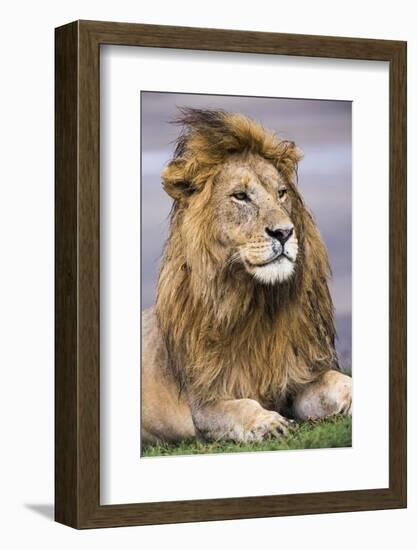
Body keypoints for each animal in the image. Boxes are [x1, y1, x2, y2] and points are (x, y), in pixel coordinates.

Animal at [141, 109, 352, 448]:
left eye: (281, 193)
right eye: (240, 196)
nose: (284, 232)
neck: (257, 304)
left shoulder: (296, 379)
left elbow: (335, 379)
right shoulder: (205, 403)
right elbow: (240, 407)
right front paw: (268, 423)